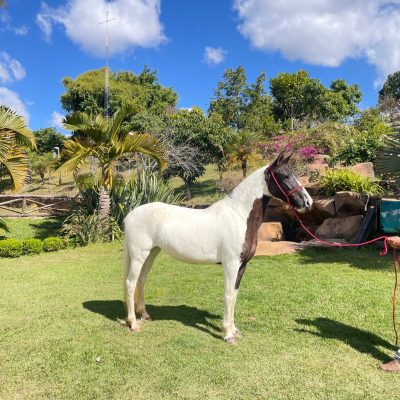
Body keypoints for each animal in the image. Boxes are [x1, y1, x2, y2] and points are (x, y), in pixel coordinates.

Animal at [122, 152, 312, 342]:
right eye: (285, 175)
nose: (308, 202)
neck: (239, 216)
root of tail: (130, 215)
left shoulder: (242, 266)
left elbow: (234, 296)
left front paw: (234, 329)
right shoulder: (231, 264)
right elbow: (228, 296)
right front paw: (228, 334)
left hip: (152, 253)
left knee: (141, 280)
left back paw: (145, 315)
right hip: (139, 255)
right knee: (130, 283)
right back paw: (133, 323)